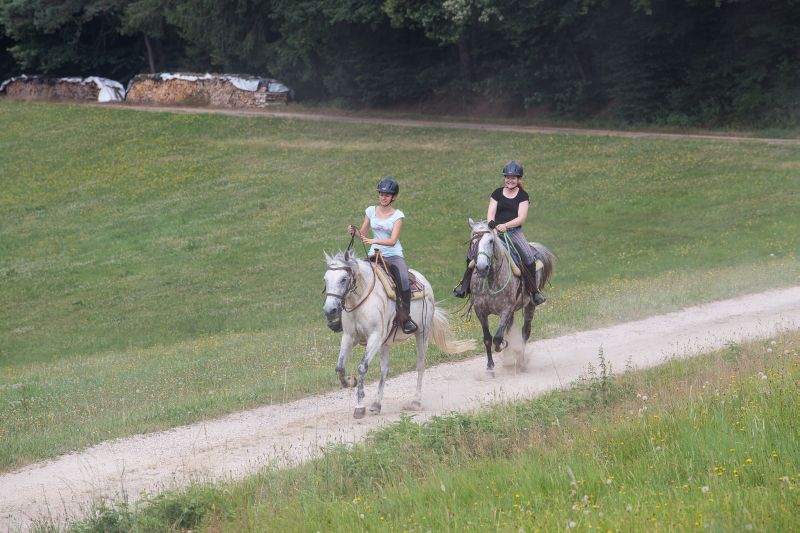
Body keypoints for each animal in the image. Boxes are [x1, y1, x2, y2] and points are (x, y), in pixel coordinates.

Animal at [324, 248, 476, 416]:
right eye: (325, 280)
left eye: (343, 279)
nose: (330, 310)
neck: (362, 300)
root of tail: (425, 283)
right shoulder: (349, 337)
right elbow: (340, 368)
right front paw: (350, 382)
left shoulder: (375, 338)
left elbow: (362, 367)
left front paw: (359, 406)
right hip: (385, 343)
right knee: (384, 369)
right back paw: (376, 404)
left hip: (422, 334)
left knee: (420, 365)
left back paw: (416, 402)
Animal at [468, 218, 556, 372]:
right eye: (473, 241)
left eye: (491, 241)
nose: (482, 267)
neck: (491, 281)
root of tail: (534, 247)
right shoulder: (480, 311)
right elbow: (487, 338)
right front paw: (490, 366)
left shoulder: (505, 310)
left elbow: (497, 338)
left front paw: (503, 345)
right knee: (509, 329)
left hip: (530, 305)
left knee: (525, 331)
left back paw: (520, 361)